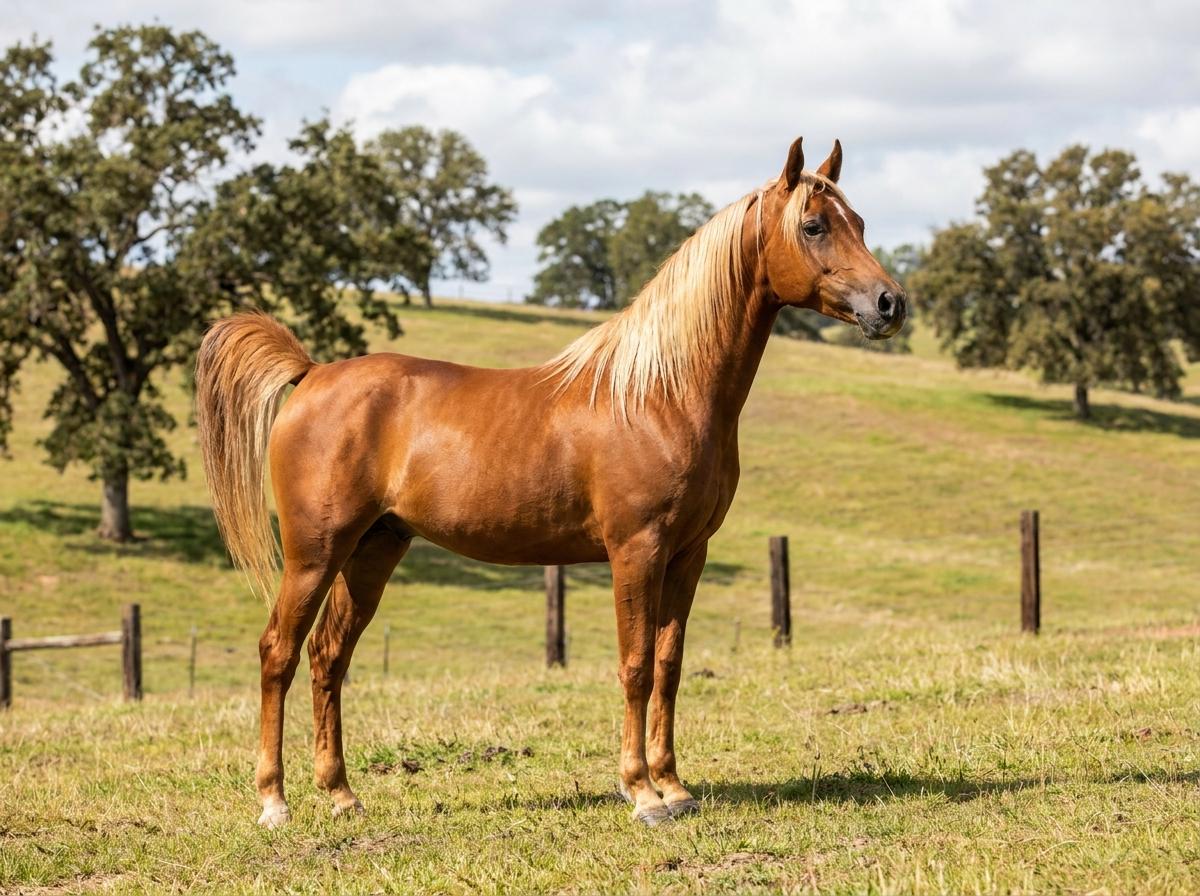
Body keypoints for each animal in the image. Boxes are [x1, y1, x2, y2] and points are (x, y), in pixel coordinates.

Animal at [195, 137, 906, 829]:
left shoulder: (688, 554)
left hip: (374, 549)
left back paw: (341, 794)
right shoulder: (636, 551)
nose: (890, 304)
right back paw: (274, 801)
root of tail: (312, 374)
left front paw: (675, 787)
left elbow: (670, 666)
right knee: (278, 653)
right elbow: (635, 665)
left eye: (860, 222)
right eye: (813, 225)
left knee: (328, 657)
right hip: (315, 554)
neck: (659, 393)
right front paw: (641, 793)